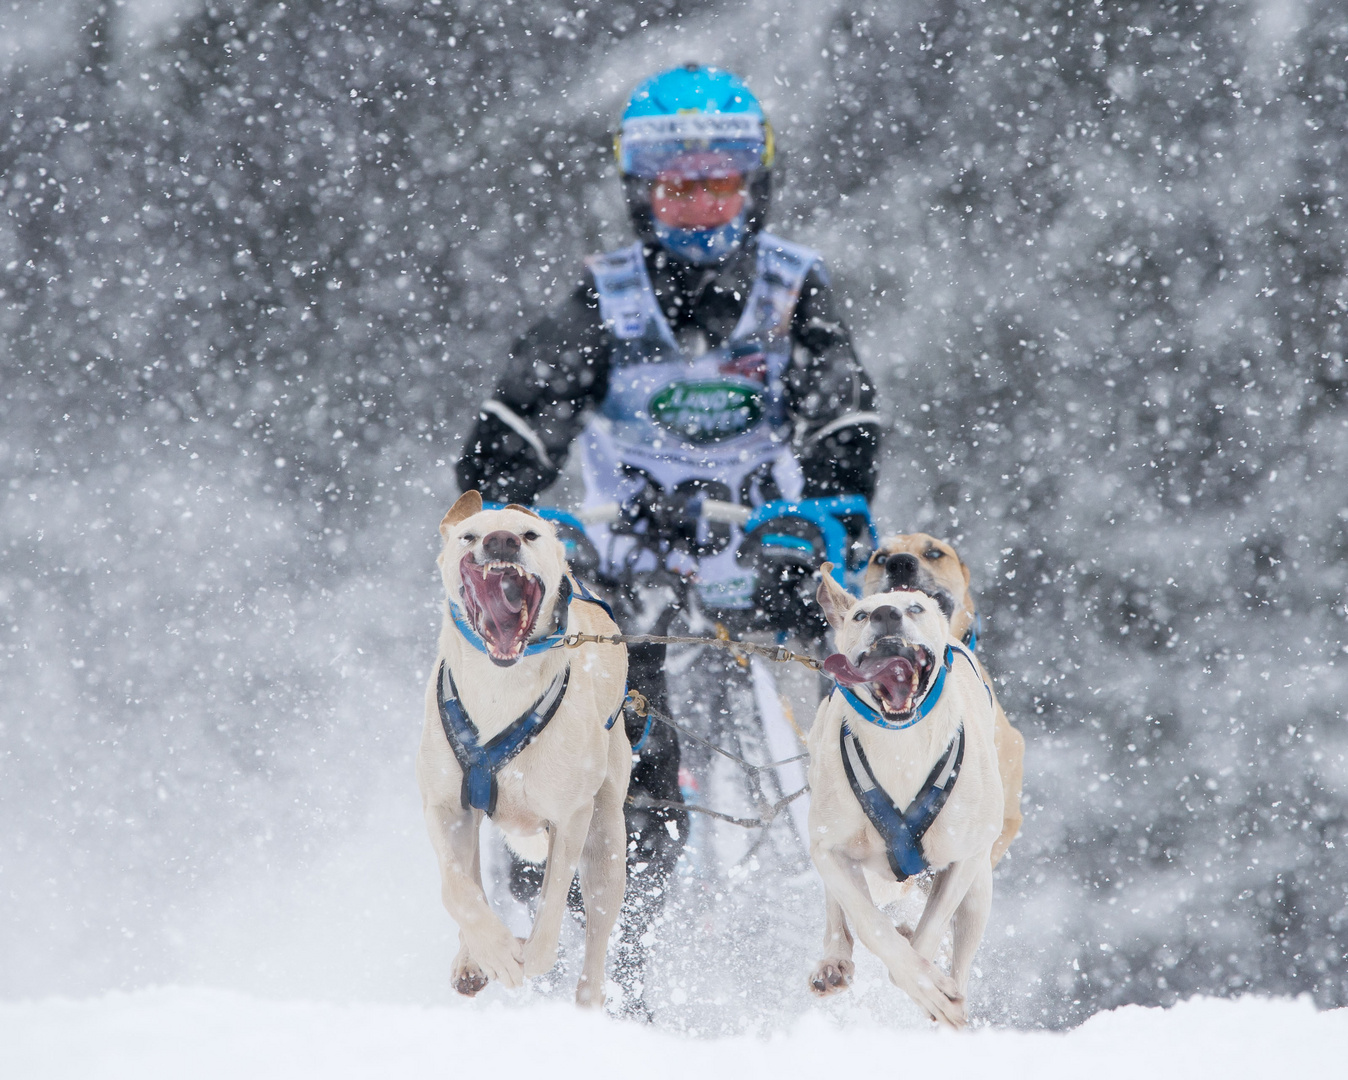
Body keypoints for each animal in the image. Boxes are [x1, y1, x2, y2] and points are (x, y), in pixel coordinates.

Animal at [412, 493, 628, 1008]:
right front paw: (491, 952)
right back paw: (470, 959)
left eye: (529, 535)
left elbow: (553, 901)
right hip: (473, 818)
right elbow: (458, 890)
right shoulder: (445, 807)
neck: (500, 689)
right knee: (471, 877)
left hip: (607, 835)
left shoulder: (570, 817)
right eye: (469, 535)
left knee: (596, 929)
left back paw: (585, 999)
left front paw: (530, 957)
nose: (501, 540)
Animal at [798, 563, 1002, 1030]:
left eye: (915, 608)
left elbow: (927, 934)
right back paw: (834, 959)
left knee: (960, 952)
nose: (886, 613)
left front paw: (930, 986)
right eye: (860, 615)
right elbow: (869, 923)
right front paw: (918, 978)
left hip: (979, 887)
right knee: (838, 910)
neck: (900, 748)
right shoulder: (830, 848)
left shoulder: (963, 859)